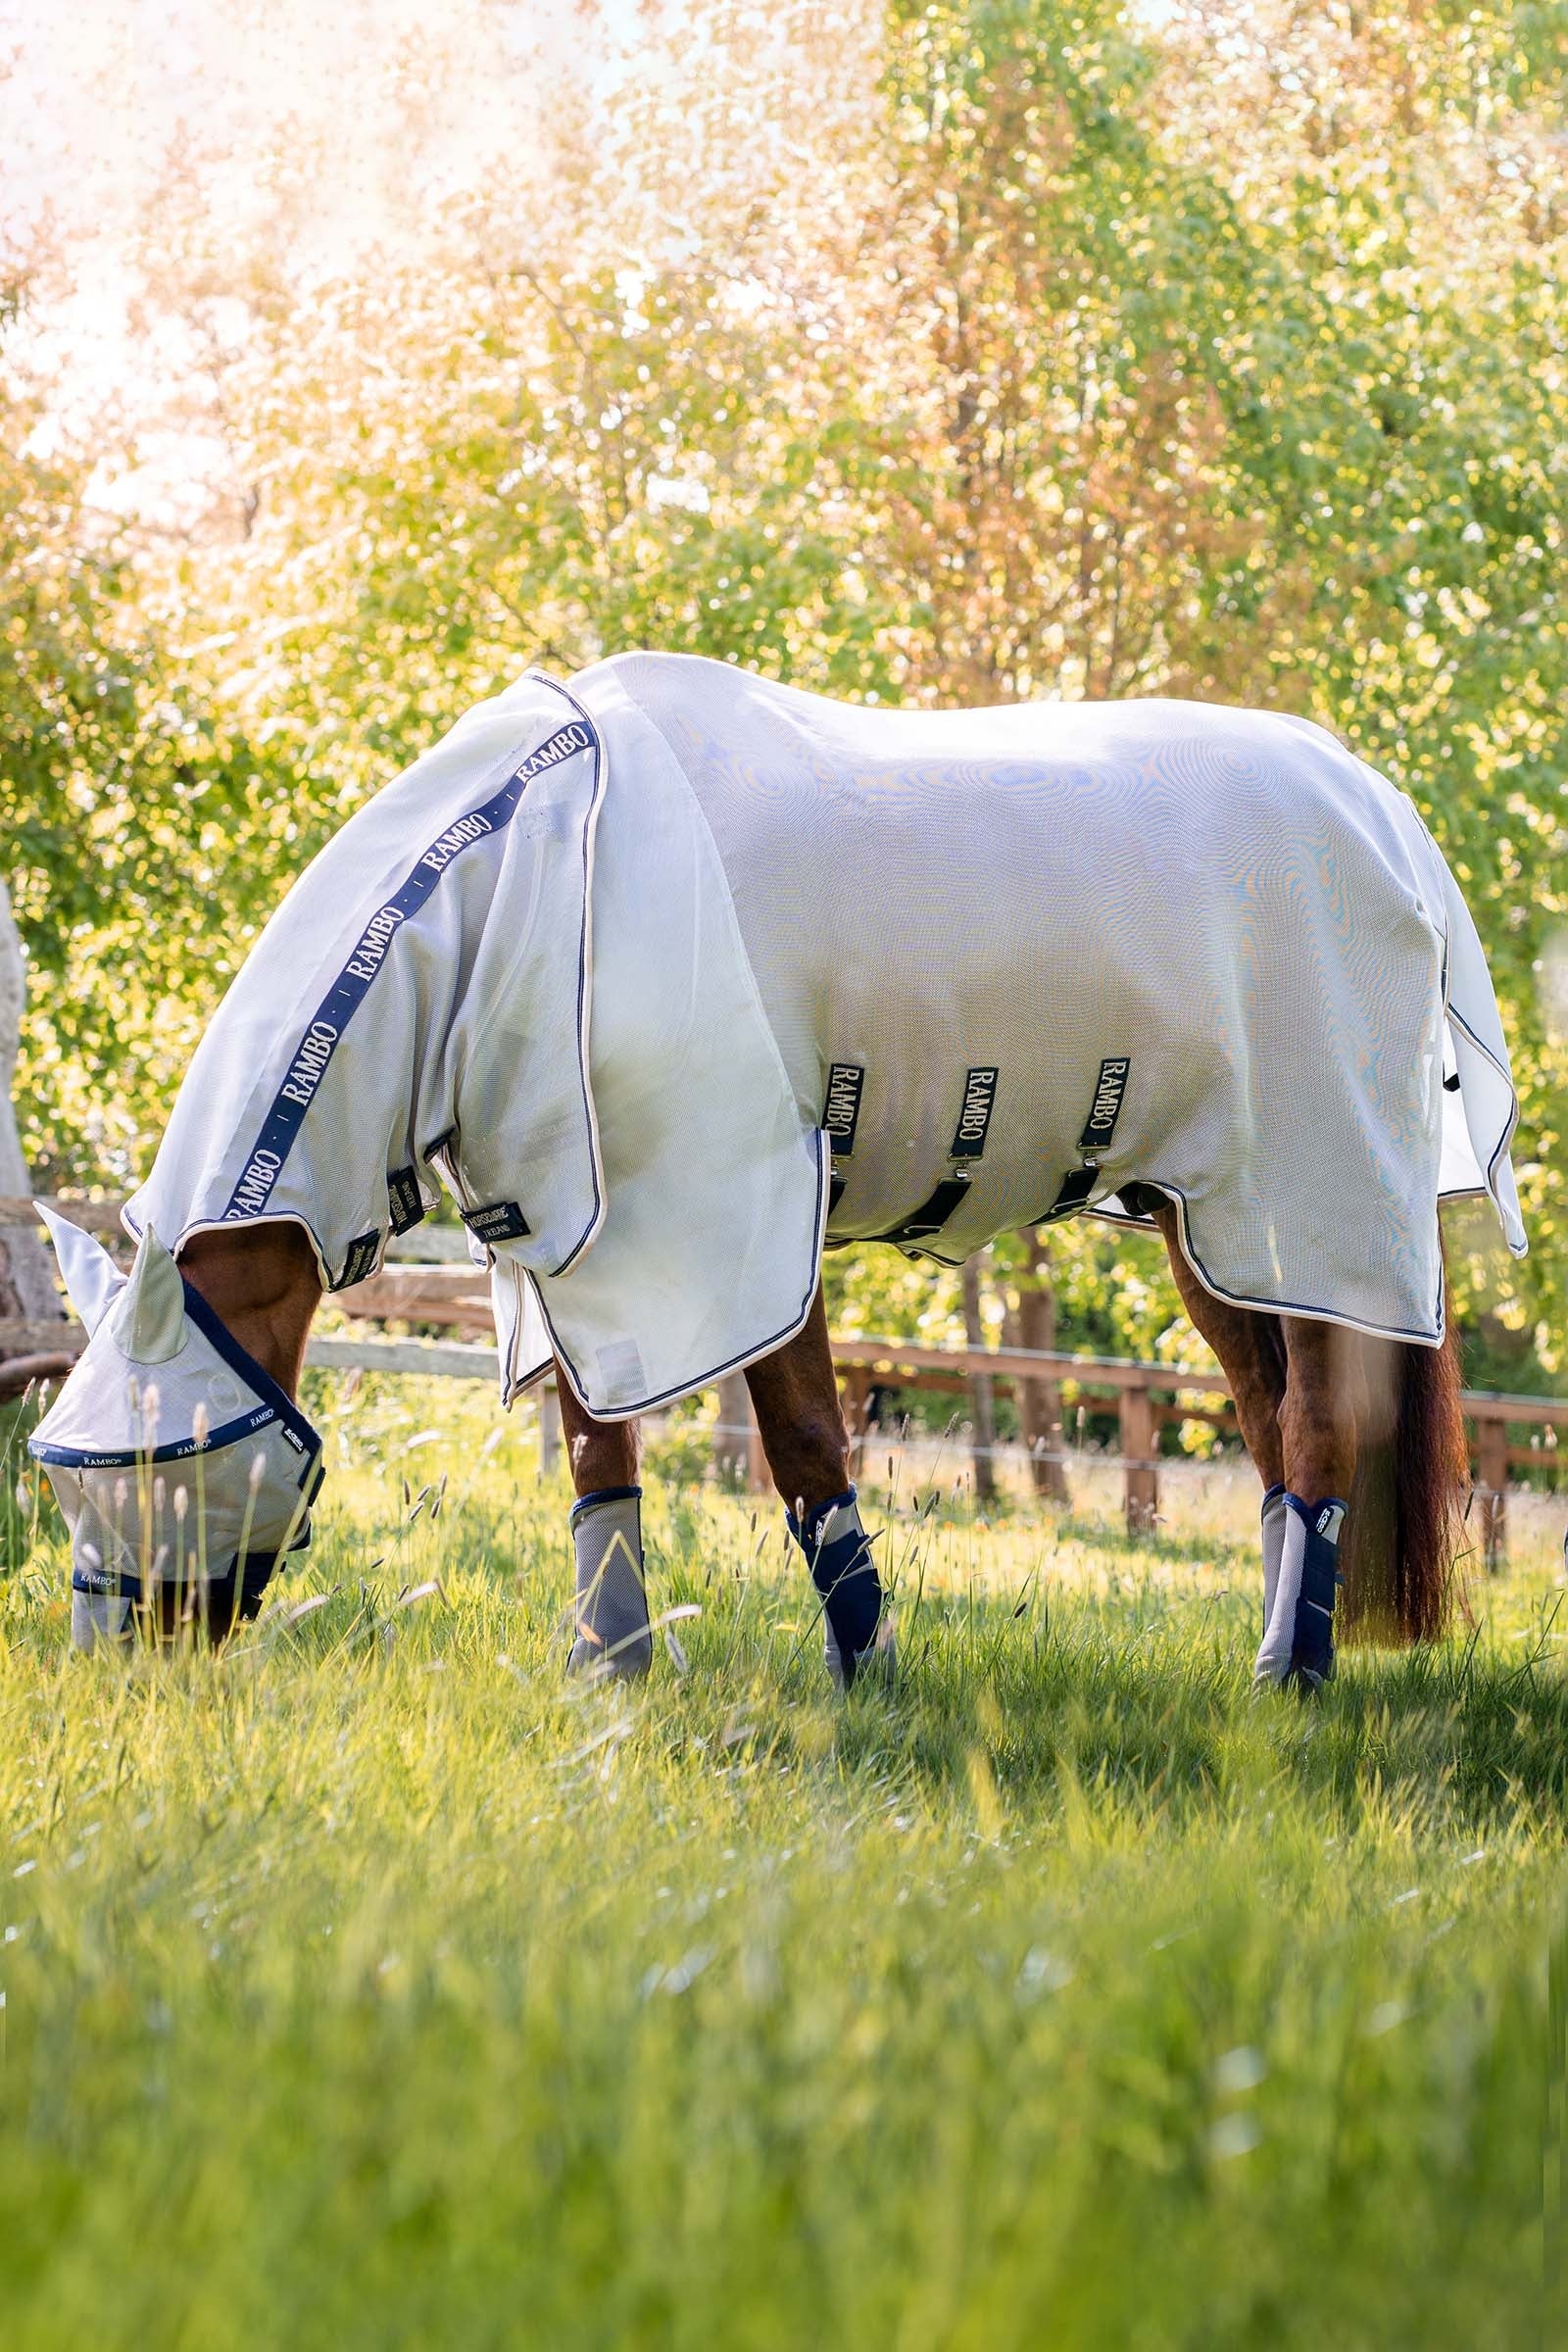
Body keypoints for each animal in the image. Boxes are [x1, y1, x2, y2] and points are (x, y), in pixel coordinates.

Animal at [30, 653, 1525, 1692]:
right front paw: (613, 1673)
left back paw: (1292, 1678)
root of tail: (1379, 808)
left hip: (1309, 1201)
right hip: (1206, 1220)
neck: (530, 877)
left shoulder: (733, 1209)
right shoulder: (575, 1243)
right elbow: (597, 1453)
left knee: (1316, 1422)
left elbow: (802, 1441)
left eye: (163, 1462)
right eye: (60, 1474)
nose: (123, 1671)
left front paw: (867, 1676)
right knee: (1271, 1423)